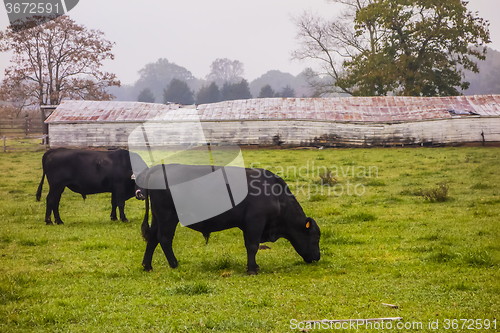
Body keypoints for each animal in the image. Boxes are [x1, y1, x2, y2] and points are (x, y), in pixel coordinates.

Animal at [135, 164, 320, 274]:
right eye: (316, 237)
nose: (317, 257)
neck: (275, 194)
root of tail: (161, 167)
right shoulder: (255, 222)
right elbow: (252, 246)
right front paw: (252, 269)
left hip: (158, 218)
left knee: (152, 239)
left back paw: (147, 266)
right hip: (168, 217)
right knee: (164, 239)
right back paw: (174, 264)